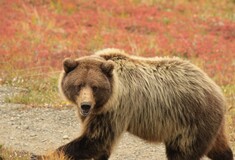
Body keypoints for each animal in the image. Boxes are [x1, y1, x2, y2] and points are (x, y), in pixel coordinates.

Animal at [32, 48, 233, 160]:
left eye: (95, 87)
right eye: (78, 85)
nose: (85, 106)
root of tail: (217, 90)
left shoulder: (115, 109)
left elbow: (94, 140)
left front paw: (40, 154)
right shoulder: (99, 113)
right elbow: (99, 144)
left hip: (190, 122)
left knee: (183, 153)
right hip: (208, 125)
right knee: (219, 148)